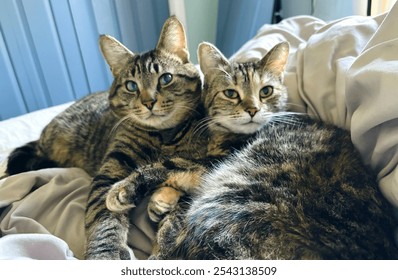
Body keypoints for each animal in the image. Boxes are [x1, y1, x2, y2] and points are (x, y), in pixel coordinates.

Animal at [5, 16, 205, 260]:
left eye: (165, 78)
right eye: (131, 86)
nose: (148, 102)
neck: (163, 136)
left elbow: (178, 210)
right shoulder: (111, 170)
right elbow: (103, 218)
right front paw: (105, 254)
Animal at [105, 41, 398, 258]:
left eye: (266, 91)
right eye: (231, 93)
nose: (253, 109)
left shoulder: (211, 163)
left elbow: (168, 166)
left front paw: (125, 190)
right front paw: (160, 200)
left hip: (227, 198)